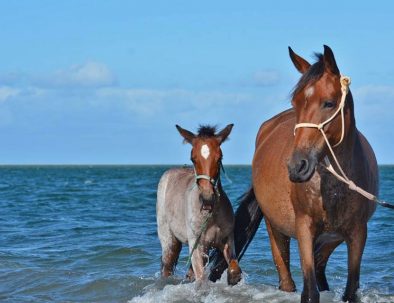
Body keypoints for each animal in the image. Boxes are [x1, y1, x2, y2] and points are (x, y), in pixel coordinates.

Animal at [209, 45, 378, 303]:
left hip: (329, 241)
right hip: (276, 229)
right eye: (296, 102)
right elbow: (309, 291)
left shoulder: (358, 233)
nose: (298, 166)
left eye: (329, 103)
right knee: (287, 280)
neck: (334, 186)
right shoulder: (304, 229)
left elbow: (350, 291)